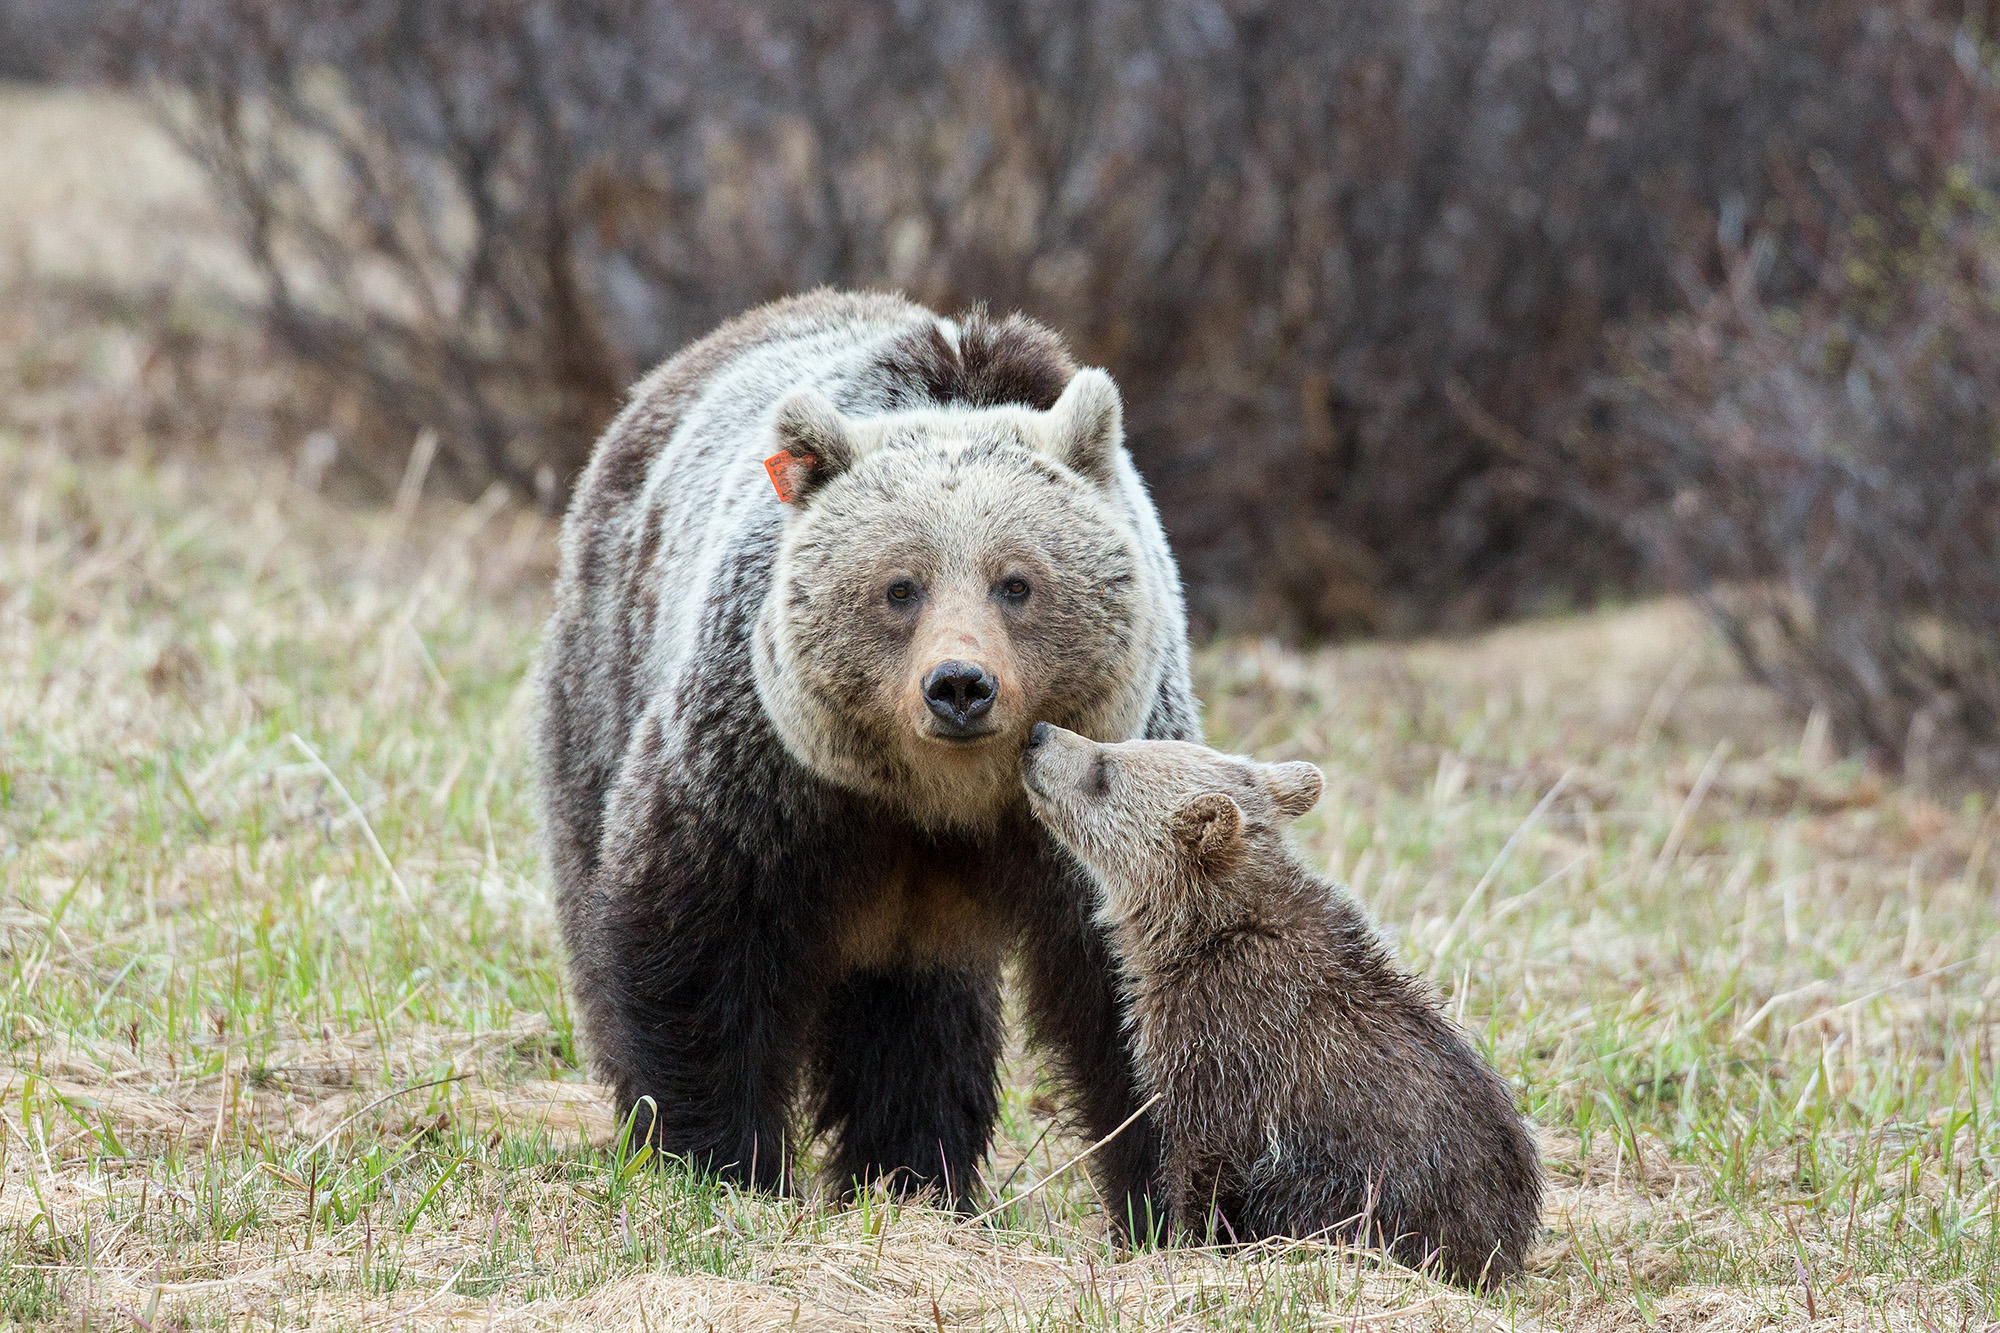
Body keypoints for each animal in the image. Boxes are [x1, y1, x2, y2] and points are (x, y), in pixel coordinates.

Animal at [532, 290, 1192, 1224]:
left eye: (1016, 582)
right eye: (900, 586)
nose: (960, 685)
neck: (939, 799)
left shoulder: (1095, 800)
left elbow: (1132, 985)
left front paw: (1176, 1198)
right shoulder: (766, 777)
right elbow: (697, 948)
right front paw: (719, 1160)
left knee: (919, 1018)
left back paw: (914, 1171)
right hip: (604, 679)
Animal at [1024, 720, 1536, 1280]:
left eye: (1104, 772)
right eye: (1120, 746)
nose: (1038, 733)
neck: (1201, 931)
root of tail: (1499, 1252)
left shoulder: (1222, 1052)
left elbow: (1201, 1164)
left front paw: (1177, 1245)